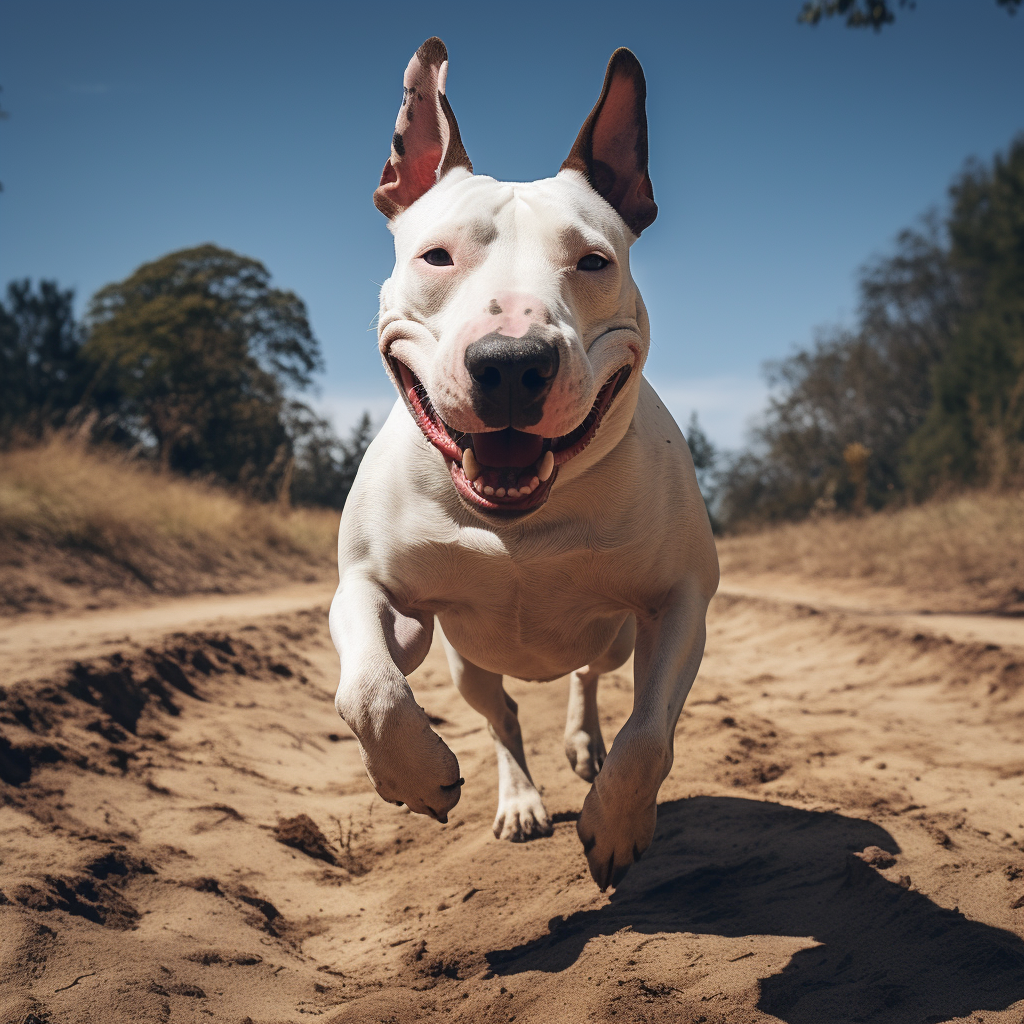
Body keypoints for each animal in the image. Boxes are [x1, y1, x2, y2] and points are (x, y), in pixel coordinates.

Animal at [331, 37, 716, 888]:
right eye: (436, 256)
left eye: (594, 262)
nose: (511, 363)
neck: (523, 522)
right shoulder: (375, 592)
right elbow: (371, 689)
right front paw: (414, 776)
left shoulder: (679, 601)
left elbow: (650, 733)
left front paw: (615, 824)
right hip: (466, 660)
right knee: (501, 714)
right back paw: (519, 801)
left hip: (615, 636)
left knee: (590, 676)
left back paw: (582, 745)